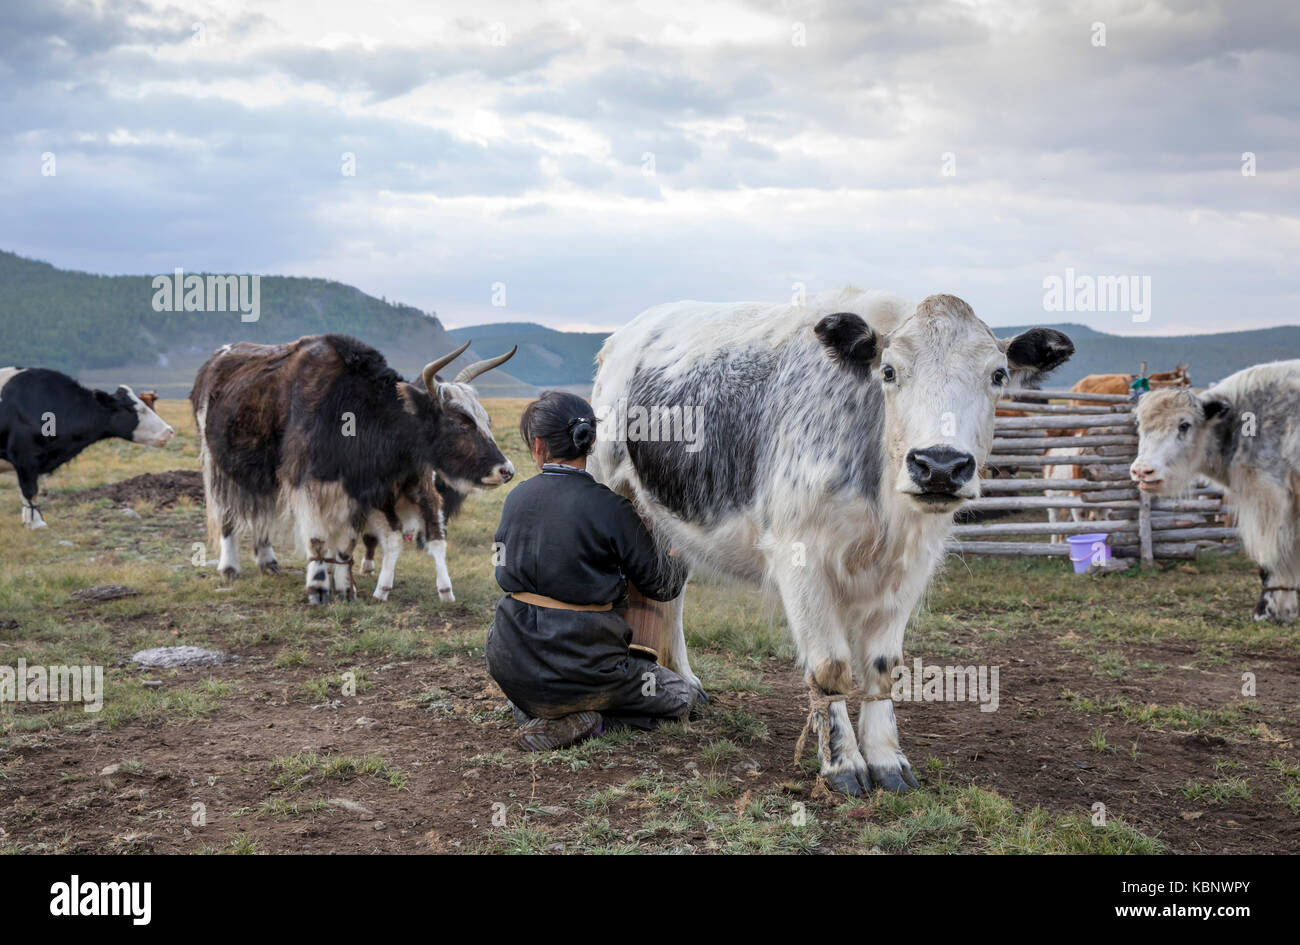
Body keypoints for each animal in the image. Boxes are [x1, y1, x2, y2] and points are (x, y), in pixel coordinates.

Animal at [189, 332, 514, 605]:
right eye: (459, 422)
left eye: (485, 419)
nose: (506, 470)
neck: (355, 410)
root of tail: (213, 362)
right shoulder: (306, 484)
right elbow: (318, 539)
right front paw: (319, 589)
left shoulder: (357, 490)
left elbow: (347, 542)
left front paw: (345, 589)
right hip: (216, 465)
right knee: (227, 515)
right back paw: (229, 568)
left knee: (262, 515)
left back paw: (268, 563)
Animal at [592, 292, 1076, 795]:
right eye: (889, 371)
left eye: (997, 375)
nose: (940, 465)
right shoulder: (800, 558)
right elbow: (831, 667)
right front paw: (842, 763)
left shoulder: (910, 568)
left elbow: (883, 666)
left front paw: (886, 759)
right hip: (608, 481)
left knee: (672, 591)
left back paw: (685, 681)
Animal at [1128, 366, 1300, 623]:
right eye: (1139, 422)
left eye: (1184, 425)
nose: (1142, 471)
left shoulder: (1269, 500)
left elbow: (1270, 559)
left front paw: (1267, 611)